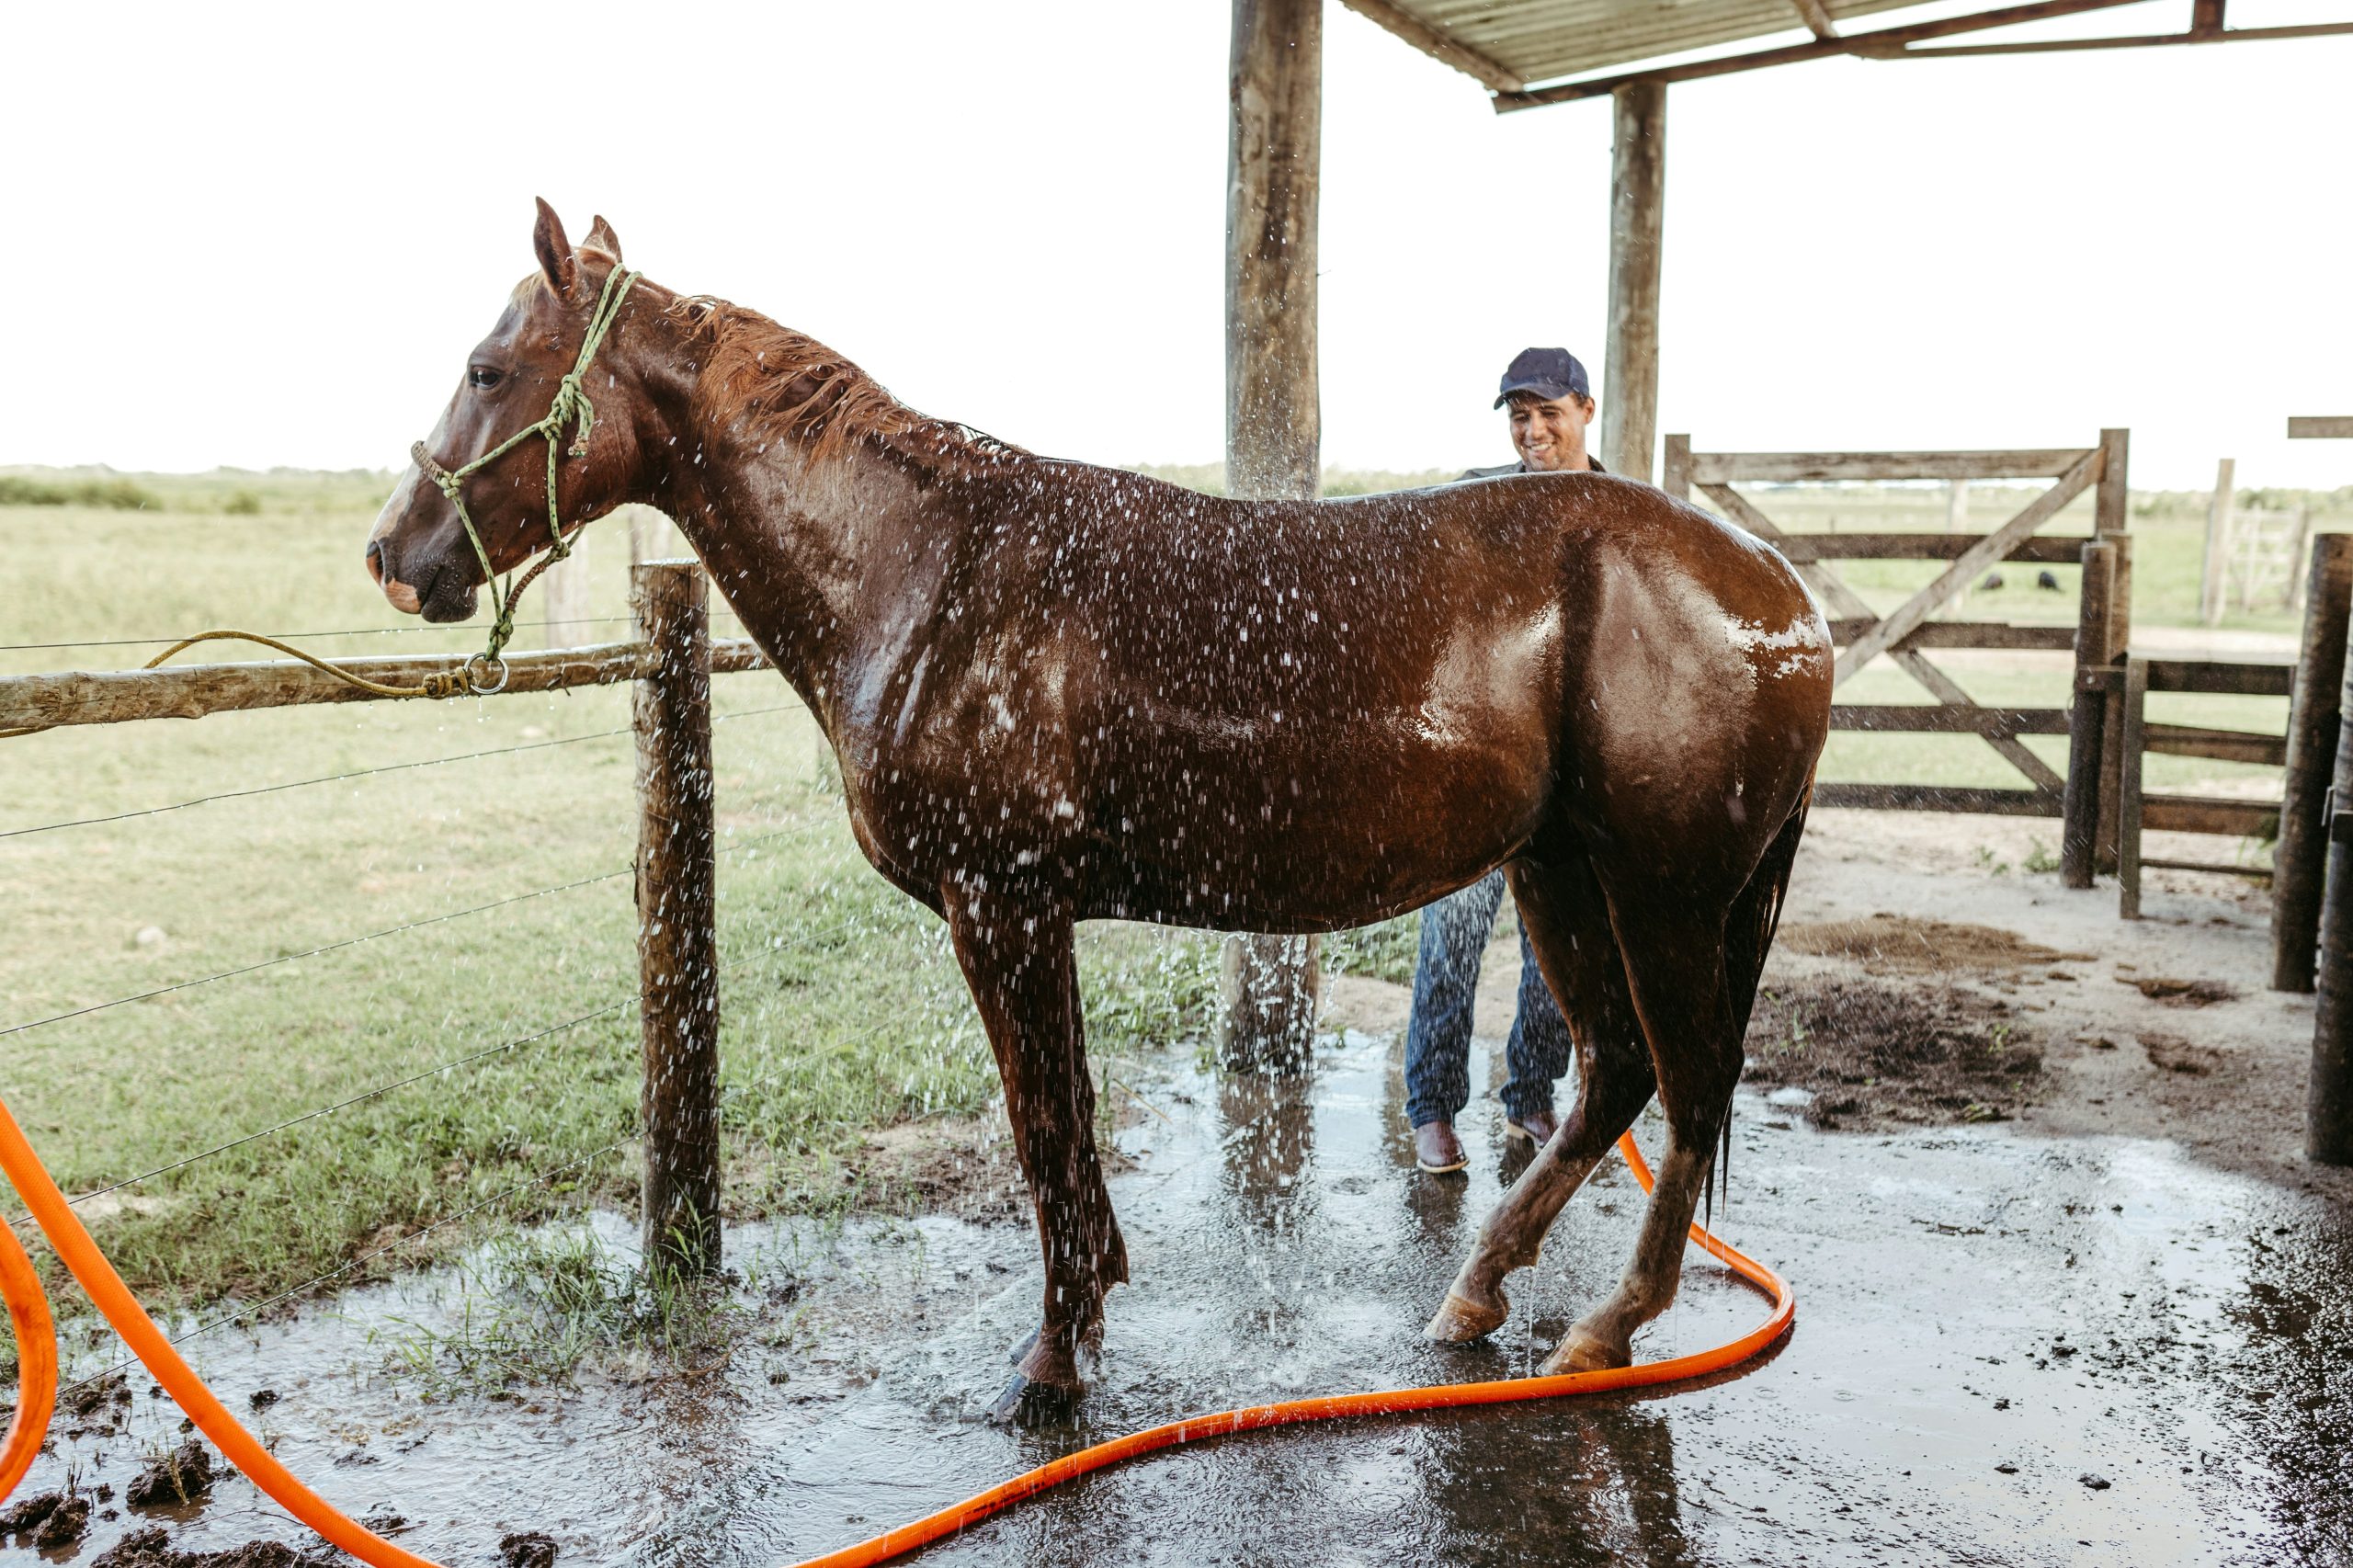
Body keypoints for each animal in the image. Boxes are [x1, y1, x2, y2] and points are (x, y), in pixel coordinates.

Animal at [371, 204, 1835, 1412]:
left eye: (487, 370)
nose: (395, 553)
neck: (929, 569)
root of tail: (1784, 594)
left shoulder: (1002, 906)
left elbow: (1042, 1132)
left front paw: (1054, 1361)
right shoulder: (1035, 914)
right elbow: (1065, 1119)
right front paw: (1090, 1309)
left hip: (1662, 894)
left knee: (1689, 1081)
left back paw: (1607, 1320)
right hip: (1562, 875)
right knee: (1618, 1072)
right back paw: (1477, 1293)